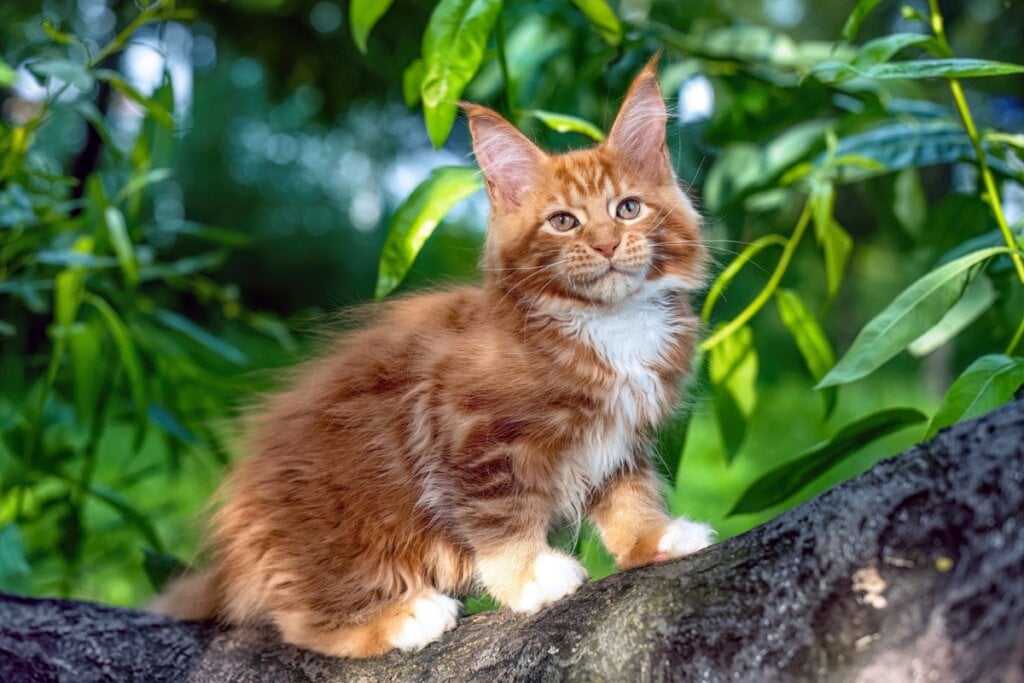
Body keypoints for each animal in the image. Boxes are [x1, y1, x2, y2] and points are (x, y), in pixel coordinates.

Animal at [153, 61, 712, 659]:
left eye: (627, 209)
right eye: (563, 222)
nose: (607, 245)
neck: (606, 324)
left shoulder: (621, 437)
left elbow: (629, 495)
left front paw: (655, 537)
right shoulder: (469, 434)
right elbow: (499, 516)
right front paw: (529, 575)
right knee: (299, 620)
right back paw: (400, 616)